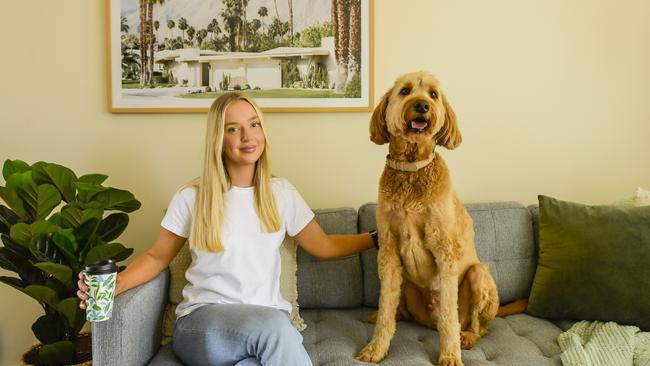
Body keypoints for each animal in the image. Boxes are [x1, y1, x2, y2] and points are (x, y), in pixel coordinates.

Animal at [356, 71, 498, 366]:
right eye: (405, 90)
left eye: (433, 94)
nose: (422, 105)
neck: (411, 169)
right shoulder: (388, 250)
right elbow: (386, 308)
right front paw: (377, 347)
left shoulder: (445, 251)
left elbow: (449, 318)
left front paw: (450, 355)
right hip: (407, 284)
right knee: (400, 311)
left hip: (478, 275)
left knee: (478, 325)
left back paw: (468, 336)